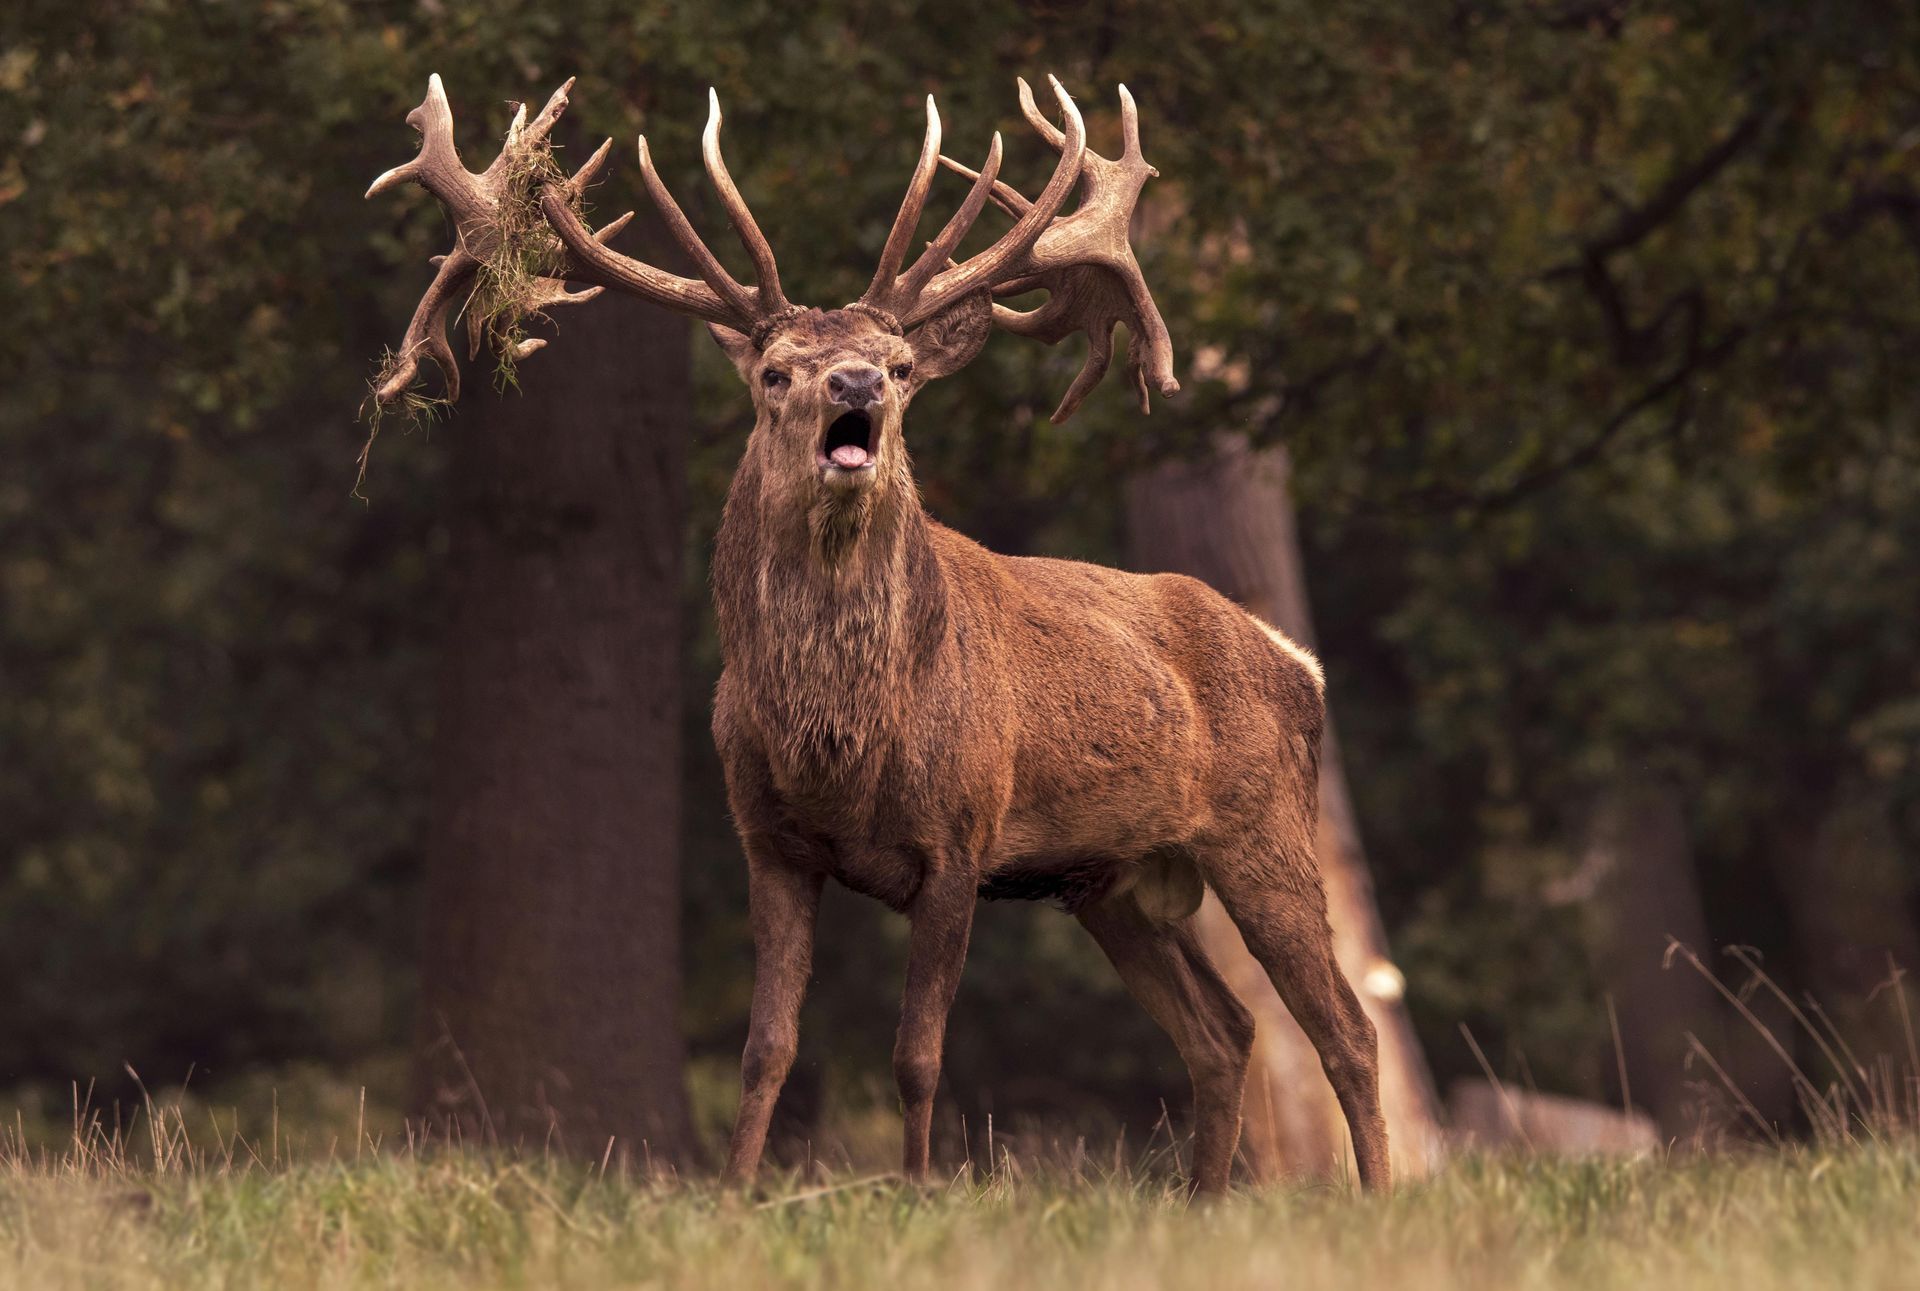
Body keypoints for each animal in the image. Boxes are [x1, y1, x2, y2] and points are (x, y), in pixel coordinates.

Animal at [366, 72, 1389, 1196]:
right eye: (774, 369)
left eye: (899, 365)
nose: (853, 386)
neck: (841, 750)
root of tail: (1299, 661)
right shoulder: (767, 840)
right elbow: (765, 1045)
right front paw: (735, 1194)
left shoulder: (961, 836)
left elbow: (918, 1054)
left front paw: (919, 1191)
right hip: (1110, 880)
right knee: (1225, 1030)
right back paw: (1205, 1202)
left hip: (1265, 826)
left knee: (1347, 1028)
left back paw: (1378, 1196)